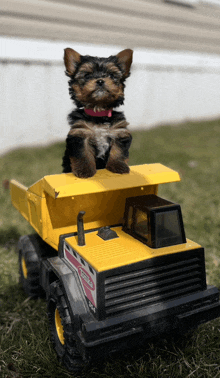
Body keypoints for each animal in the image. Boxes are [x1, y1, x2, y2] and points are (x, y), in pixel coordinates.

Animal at [62, 47, 133, 177]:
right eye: (87, 75)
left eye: (111, 75)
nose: (100, 81)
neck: (99, 112)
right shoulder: (80, 132)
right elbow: (83, 153)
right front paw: (84, 170)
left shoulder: (119, 131)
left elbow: (118, 151)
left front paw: (118, 166)